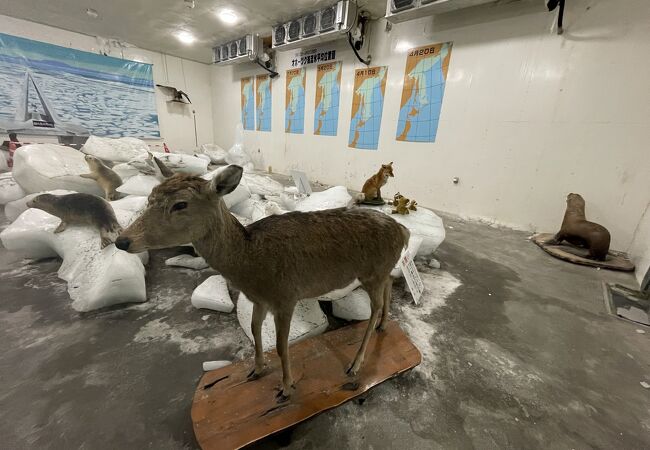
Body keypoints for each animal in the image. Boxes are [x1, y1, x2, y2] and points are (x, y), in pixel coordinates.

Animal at [114, 164, 408, 400]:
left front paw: (286, 388)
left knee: (375, 307)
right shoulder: (258, 299)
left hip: (372, 273)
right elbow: (256, 330)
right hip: (381, 270)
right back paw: (383, 327)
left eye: (180, 204)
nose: (122, 240)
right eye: (150, 197)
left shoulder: (286, 297)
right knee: (388, 288)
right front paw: (256, 370)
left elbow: (280, 345)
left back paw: (355, 364)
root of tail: (403, 230)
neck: (250, 263)